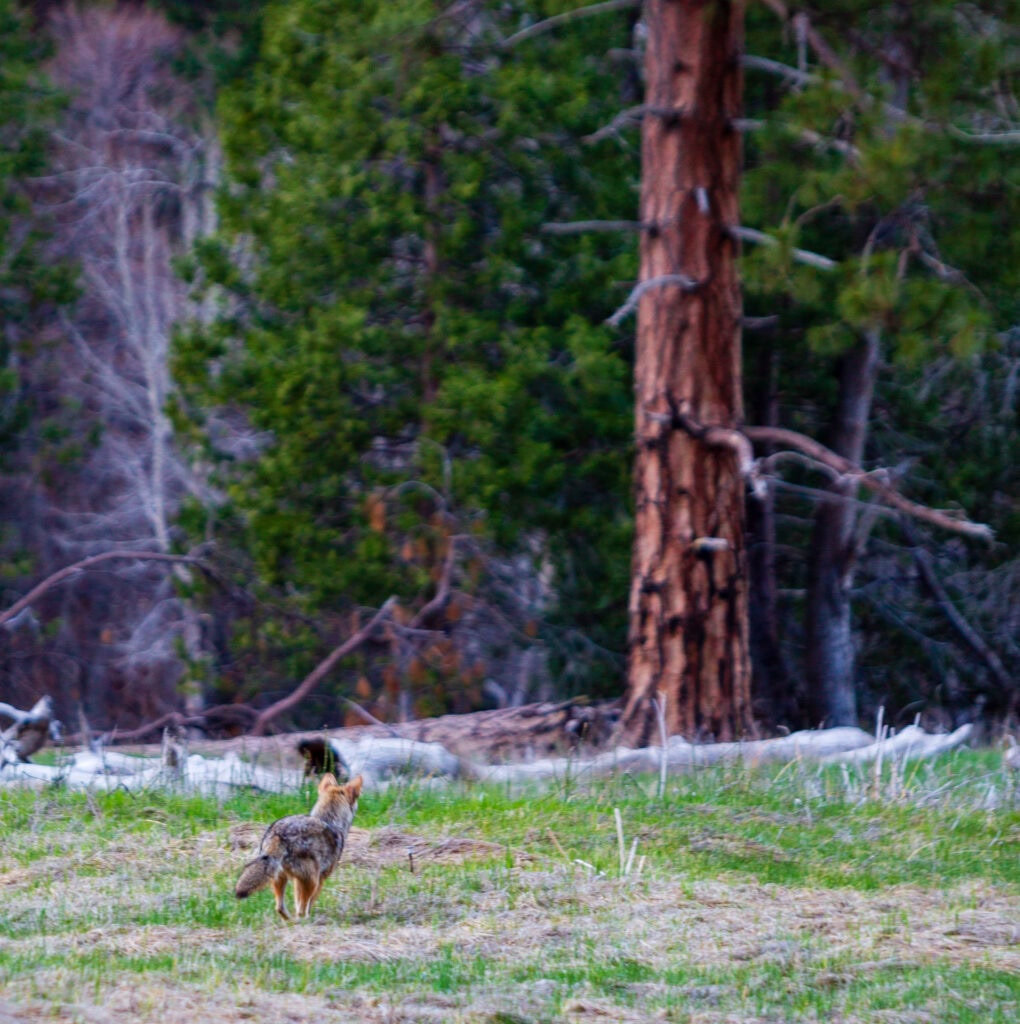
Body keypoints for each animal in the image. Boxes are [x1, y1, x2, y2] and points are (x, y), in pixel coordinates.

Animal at [235, 772, 362, 921]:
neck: (329, 820)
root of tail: (278, 834)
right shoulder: (320, 879)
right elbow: (307, 904)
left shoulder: (297, 881)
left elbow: (297, 903)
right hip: (311, 880)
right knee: (300, 911)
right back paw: (305, 921)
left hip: (279, 878)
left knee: (279, 908)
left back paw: (291, 921)